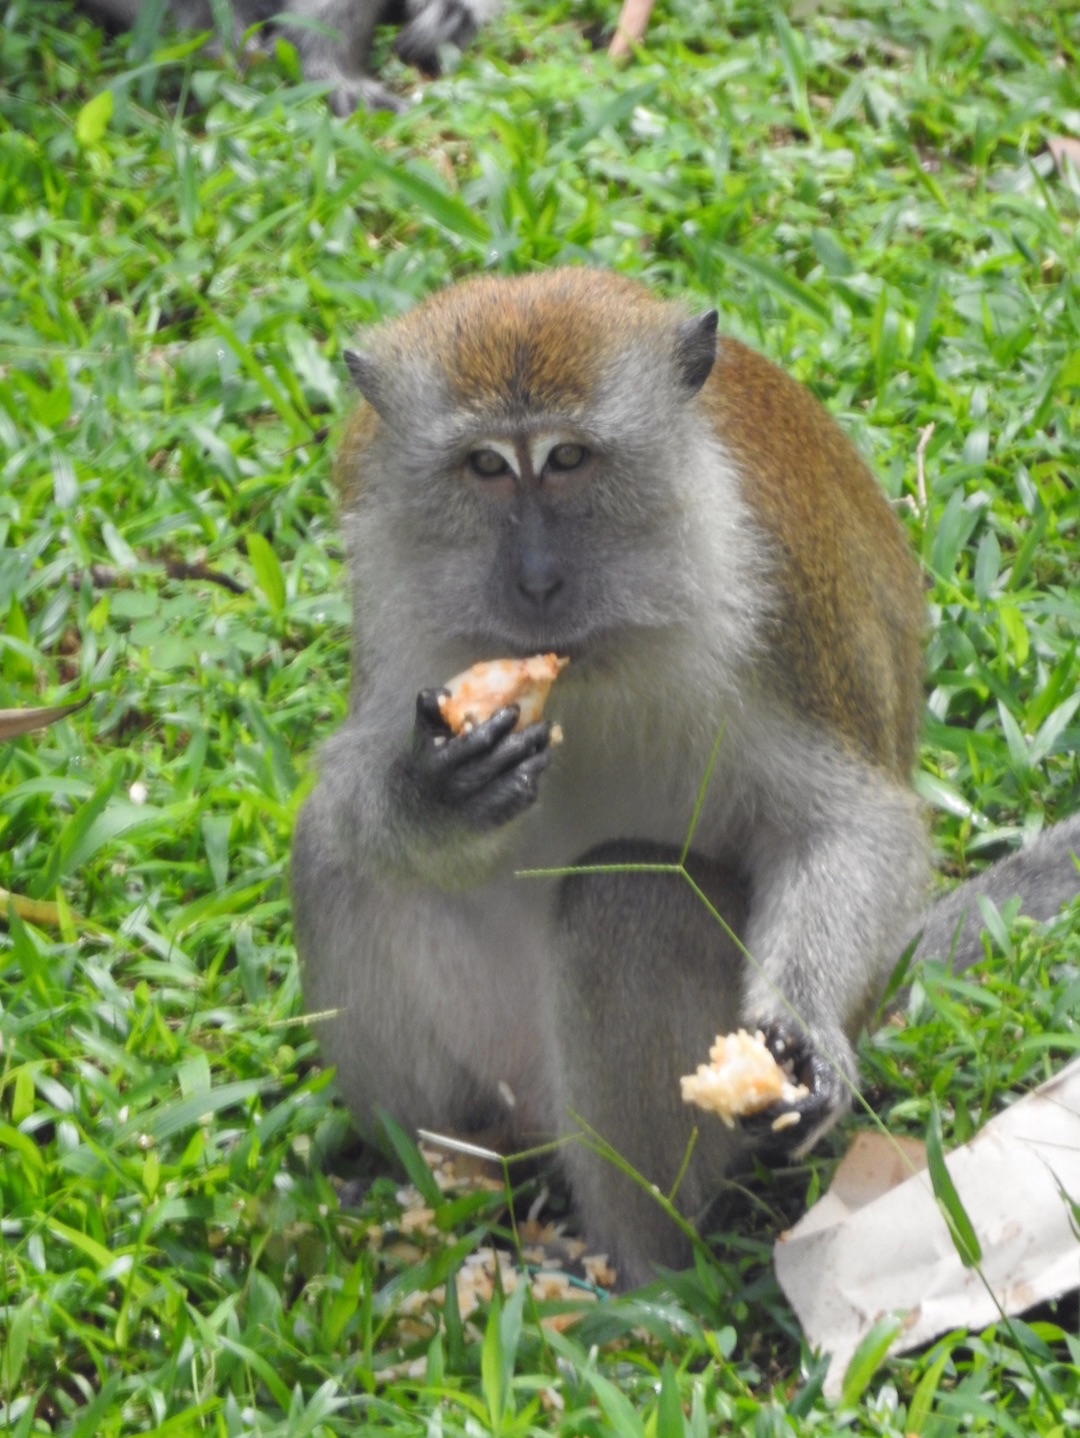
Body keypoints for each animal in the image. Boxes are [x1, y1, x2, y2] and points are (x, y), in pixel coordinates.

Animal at [291, 271, 1080, 1294]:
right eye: (487, 467)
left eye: (569, 458)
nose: (535, 581)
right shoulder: (395, 597)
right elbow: (356, 787)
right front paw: (432, 795)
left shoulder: (765, 595)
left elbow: (848, 823)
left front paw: (805, 1043)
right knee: (334, 854)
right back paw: (445, 1177)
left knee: (627, 899)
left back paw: (645, 1280)